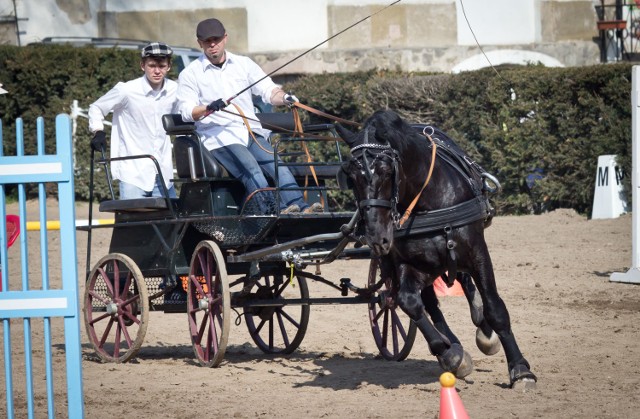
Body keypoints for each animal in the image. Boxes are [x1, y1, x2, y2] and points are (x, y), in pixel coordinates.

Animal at [338, 109, 536, 390]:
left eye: (387, 171)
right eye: (351, 176)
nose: (376, 236)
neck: (428, 199)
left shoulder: (477, 252)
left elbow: (494, 307)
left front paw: (520, 369)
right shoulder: (407, 264)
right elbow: (410, 302)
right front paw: (450, 355)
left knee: (466, 287)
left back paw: (483, 330)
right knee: (429, 303)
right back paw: (452, 345)